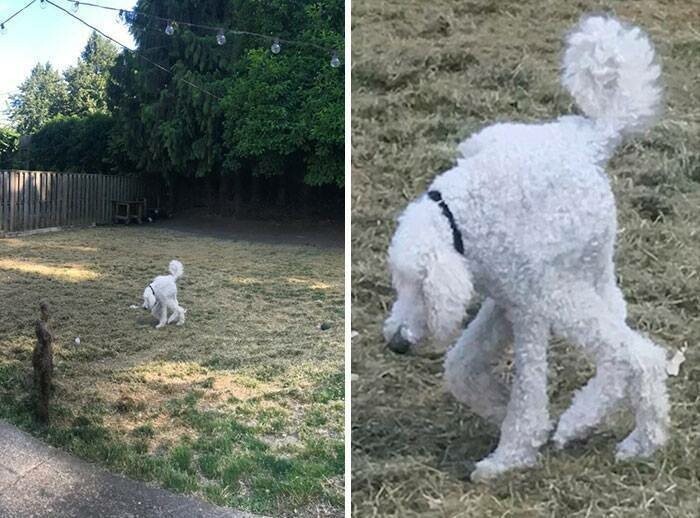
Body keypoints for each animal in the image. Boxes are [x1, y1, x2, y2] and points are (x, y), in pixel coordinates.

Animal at [386, 13, 668, 484]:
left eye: (422, 288)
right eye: (397, 284)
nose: (396, 344)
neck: (462, 218)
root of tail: (592, 140)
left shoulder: (528, 307)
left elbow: (529, 393)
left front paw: (510, 453)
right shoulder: (502, 301)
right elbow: (460, 366)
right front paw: (498, 407)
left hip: (561, 290)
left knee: (637, 352)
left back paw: (635, 440)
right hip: (591, 269)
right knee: (620, 335)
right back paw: (584, 419)